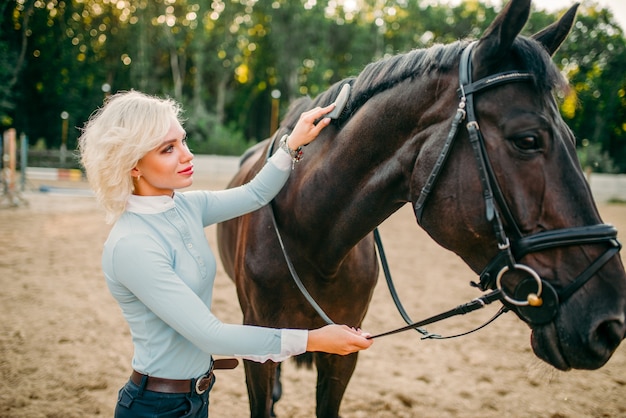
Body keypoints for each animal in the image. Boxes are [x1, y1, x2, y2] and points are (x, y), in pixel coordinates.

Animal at [216, 1, 624, 416]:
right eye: (527, 140)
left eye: (573, 139)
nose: (610, 324)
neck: (311, 241)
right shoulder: (259, 344)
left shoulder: (343, 351)